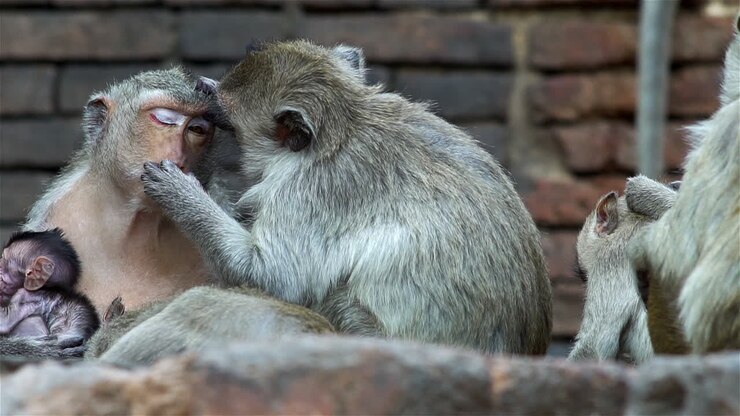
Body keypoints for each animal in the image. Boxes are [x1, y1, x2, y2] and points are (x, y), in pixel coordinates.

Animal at [140, 41, 553, 355]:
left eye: (222, 109)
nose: (203, 84)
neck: (344, 124)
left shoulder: (314, 192)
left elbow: (272, 276)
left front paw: (183, 194)